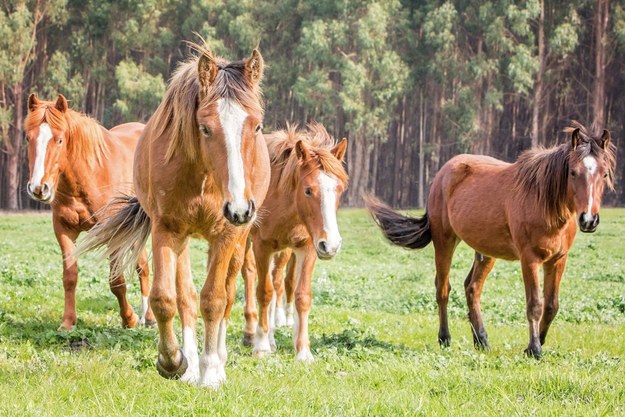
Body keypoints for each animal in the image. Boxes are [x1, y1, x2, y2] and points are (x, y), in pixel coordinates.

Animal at [24, 92, 154, 330]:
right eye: (28, 138)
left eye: (59, 140)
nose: (38, 188)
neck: (88, 176)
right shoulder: (63, 231)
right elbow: (70, 276)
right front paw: (67, 323)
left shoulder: (113, 233)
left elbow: (116, 281)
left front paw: (129, 319)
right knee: (142, 265)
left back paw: (147, 317)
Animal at [74, 45, 270, 386]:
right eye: (205, 127)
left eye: (256, 126)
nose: (239, 208)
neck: (204, 176)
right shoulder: (166, 229)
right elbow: (166, 299)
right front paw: (173, 361)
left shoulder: (226, 234)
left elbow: (215, 299)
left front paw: (211, 373)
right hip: (184, 239)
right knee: (186, 296)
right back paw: (189, 363)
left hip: (238, 239)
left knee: (228, 294)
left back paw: (217, 361)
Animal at [239, 123, 346, 360]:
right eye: (308, 190)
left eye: (340, 189)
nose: (332, 245)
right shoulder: (262, 246)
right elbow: (264, 292)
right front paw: (261, 346)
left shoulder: (308, 248)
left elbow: (302, 295)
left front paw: (303, 350)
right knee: (250, 275)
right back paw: (252, 334)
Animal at [366, 120, 616, 358]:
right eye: (573, 172)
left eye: (604, 174)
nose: (589, 219)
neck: (544, 202)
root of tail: (443, 173)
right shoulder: (530, 259)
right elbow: (535, 304)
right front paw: (534, 349)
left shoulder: (558, 259)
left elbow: (552, 305)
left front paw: (539, 342)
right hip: (445, 241)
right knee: (443, 288)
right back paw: (445, 338)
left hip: (486, 252)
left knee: (472, 288)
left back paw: (481, 340)